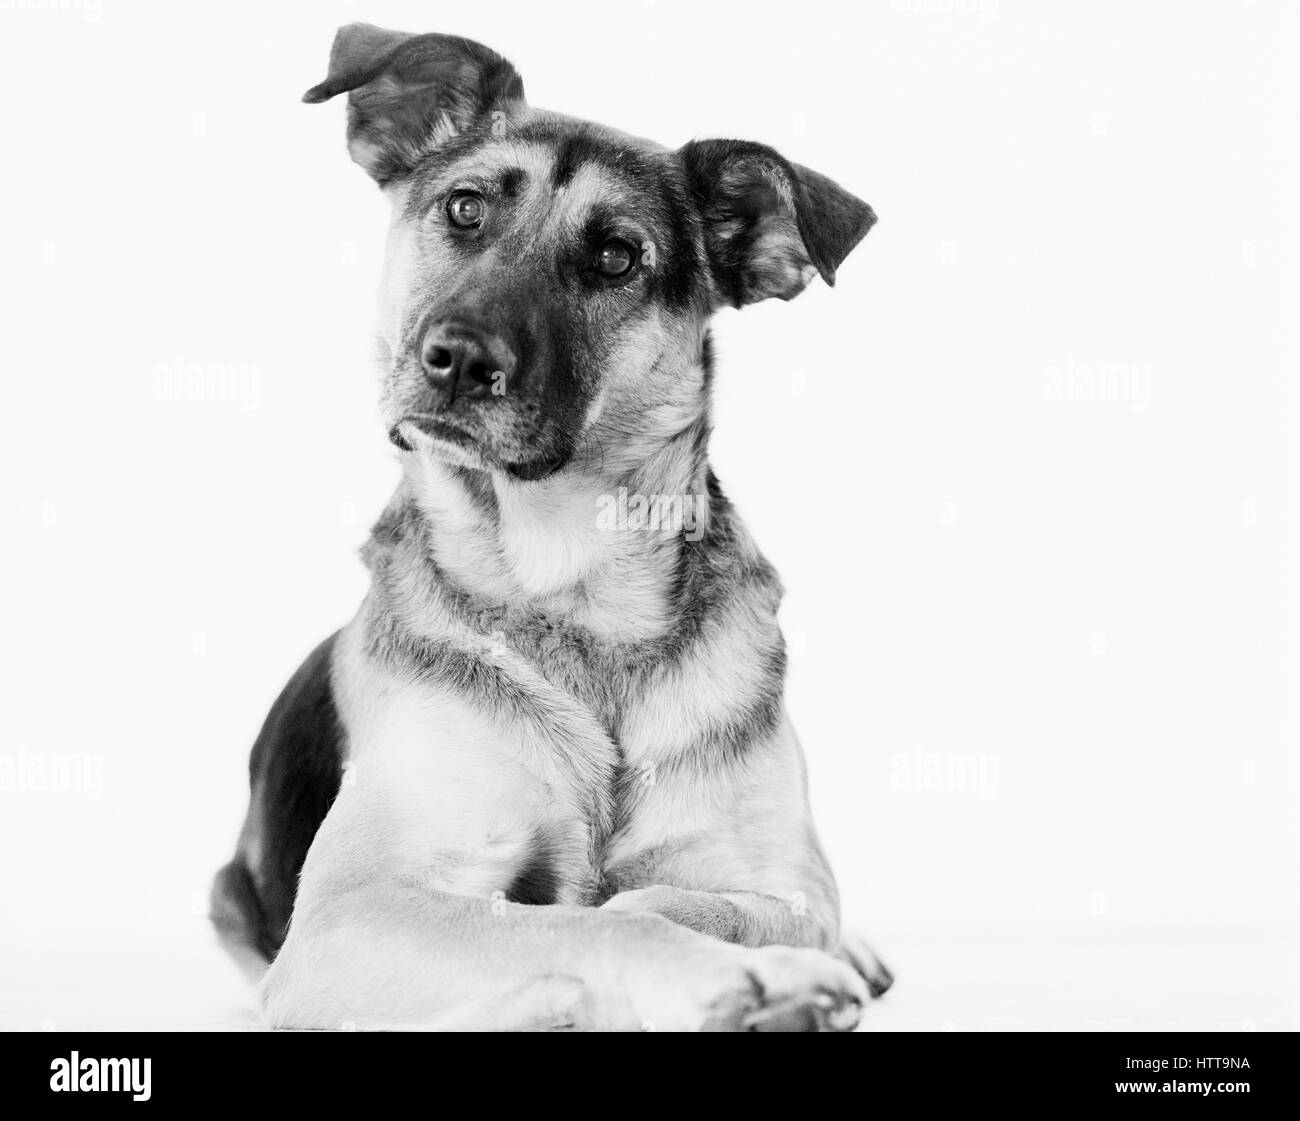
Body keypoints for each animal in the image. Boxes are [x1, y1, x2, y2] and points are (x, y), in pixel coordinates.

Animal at [213, 19, 889, 1035]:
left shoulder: (787, 879)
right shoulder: (349, 914)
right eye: (463, 209)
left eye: (616, 257)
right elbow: (586, 918)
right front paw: (733, 978)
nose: (457, 359)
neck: (573, 589)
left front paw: (780, 962)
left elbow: (714, 901)